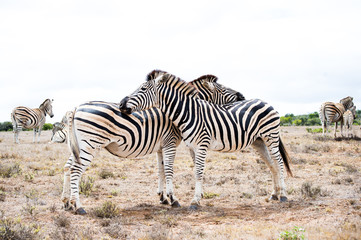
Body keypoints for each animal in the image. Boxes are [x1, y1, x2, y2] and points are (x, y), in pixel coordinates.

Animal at [119, 70, 292, 208]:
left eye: (142, 88)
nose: (121, 104)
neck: (189, 112)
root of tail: (265, 102)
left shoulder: (201, 144)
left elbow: (198, 172)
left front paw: (195, 201)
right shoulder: (191, 147)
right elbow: (196, 170)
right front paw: (198, 196)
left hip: (271, 137)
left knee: (279, 162)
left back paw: (283, 195)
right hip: (259, 141)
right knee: (272, 164)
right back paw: (274, 194)